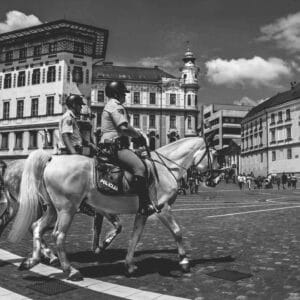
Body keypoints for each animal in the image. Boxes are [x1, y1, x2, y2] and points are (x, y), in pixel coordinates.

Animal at [9, 137, 220, 280]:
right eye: (215, 155)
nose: (216, 179)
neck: (165, 168)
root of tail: (52, 159)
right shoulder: (162, 208)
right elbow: (177, 232)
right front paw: (184, 261)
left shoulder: (143, 212)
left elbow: (135, 237)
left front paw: (129, 265)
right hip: (67, 209)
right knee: (58, 235)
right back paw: (70, 270)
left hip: (53, 209)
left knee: (37, 227)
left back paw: (32, 260)